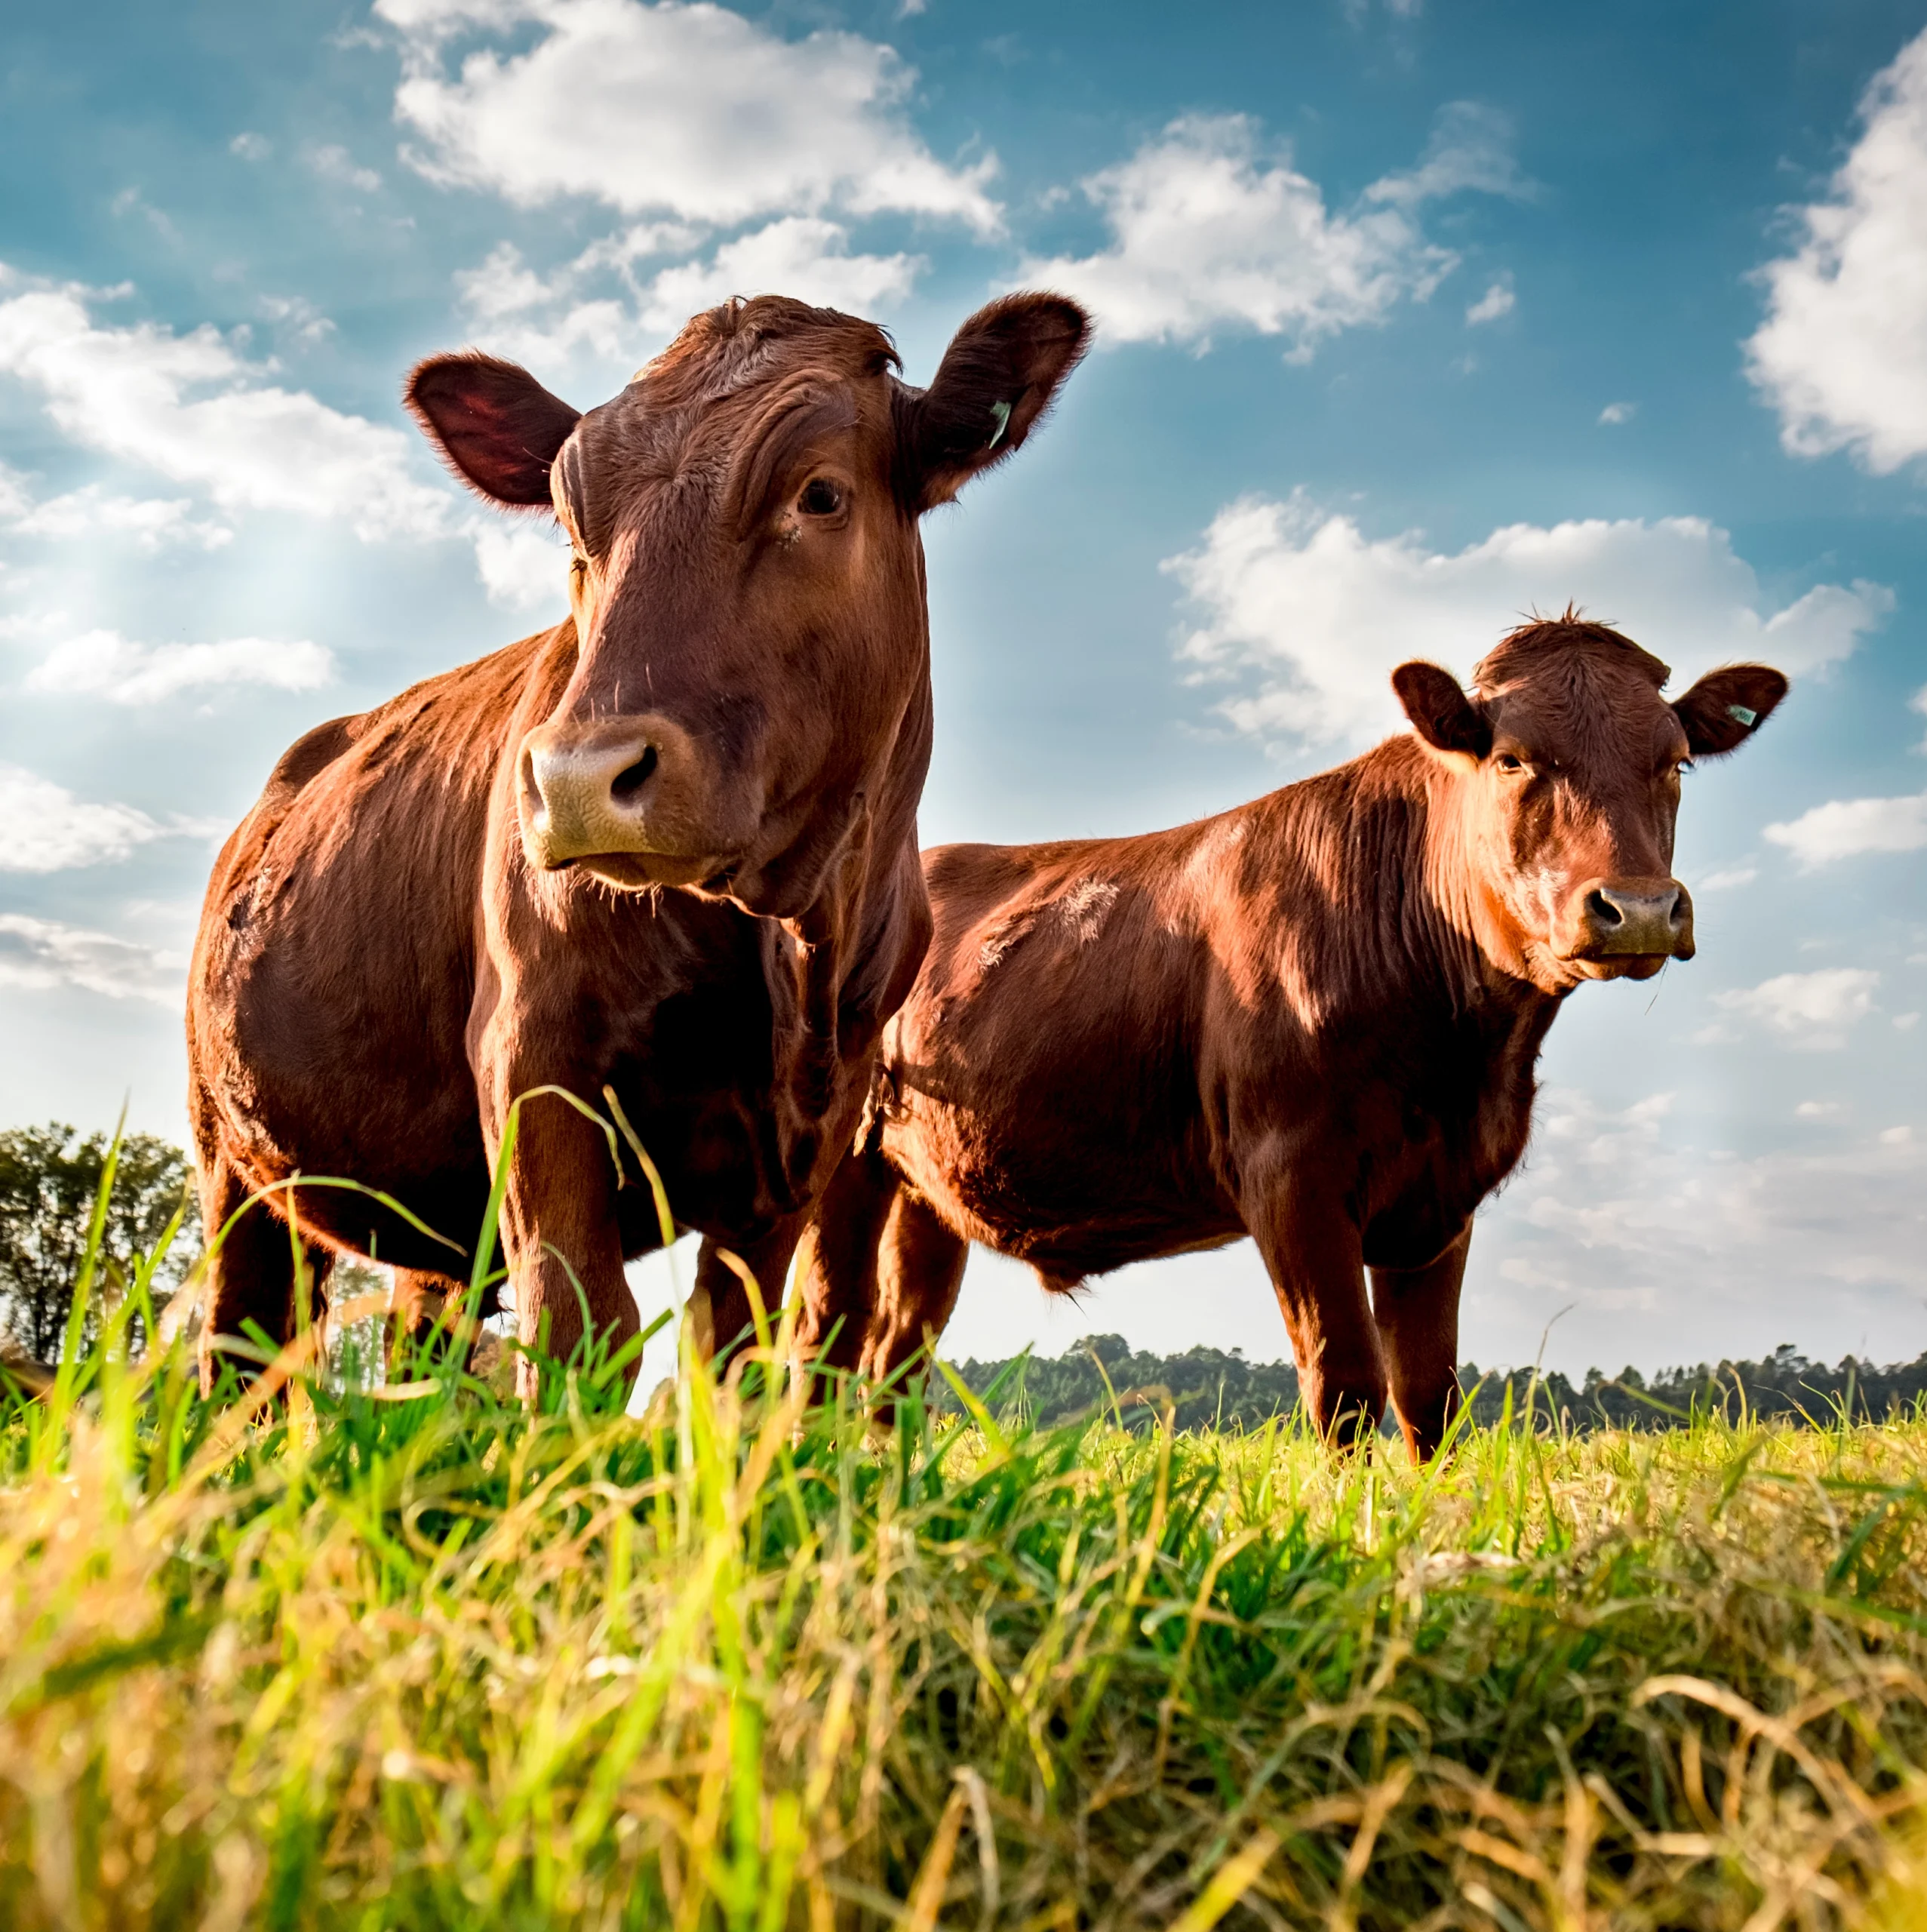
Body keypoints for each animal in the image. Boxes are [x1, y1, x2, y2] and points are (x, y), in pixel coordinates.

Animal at [188, 292, 1090, 1397]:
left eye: (820, 494)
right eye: (577, 529)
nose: (579, 778)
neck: (793, 941)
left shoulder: (815, 1130)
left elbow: (734, 1346)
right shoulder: (529, 1052)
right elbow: (581, 1321)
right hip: (233, 1155)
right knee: (243, 1343)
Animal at [793, 618, 1788, 1459]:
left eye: (1675, 761)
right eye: (1511, 759)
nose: (1639, 909)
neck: (1466, 1060)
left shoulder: (1442, 1196)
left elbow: (1428, 1393)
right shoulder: (1289, 1172)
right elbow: (1344, 1383)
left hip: (925, 1189)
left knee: (897, 1355)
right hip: (839, 1162)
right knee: (824, 1337)